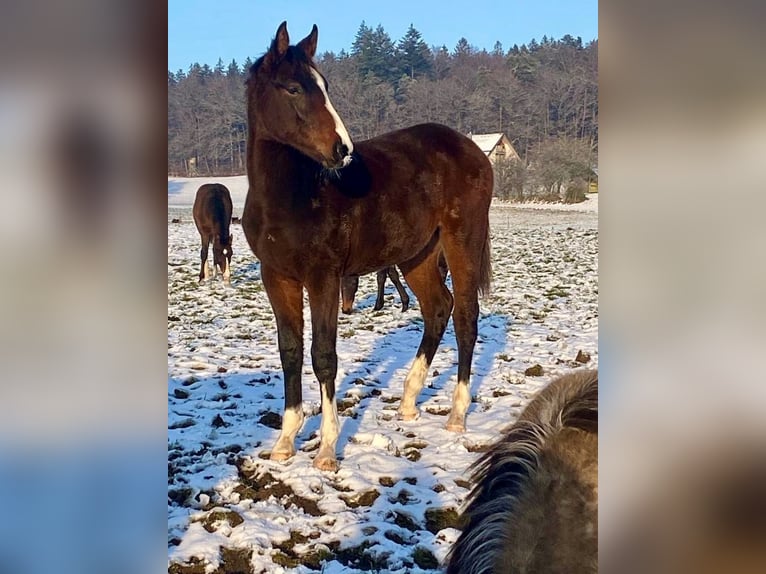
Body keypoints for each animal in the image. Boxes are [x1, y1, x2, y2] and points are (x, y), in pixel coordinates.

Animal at [243, 22, 496, 472]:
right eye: (293, 88)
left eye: (325, 86)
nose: (342, 150)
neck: (290, 196)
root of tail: (471, 150)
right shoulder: (276, 277)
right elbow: (290, 351)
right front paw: (285, 442)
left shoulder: (323, 276)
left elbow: (323, 355)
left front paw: (326, 450)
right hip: (418, 255)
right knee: (438, 308)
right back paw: (409, 401)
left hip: (462, 239)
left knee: (465, 316)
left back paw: (456, 415)